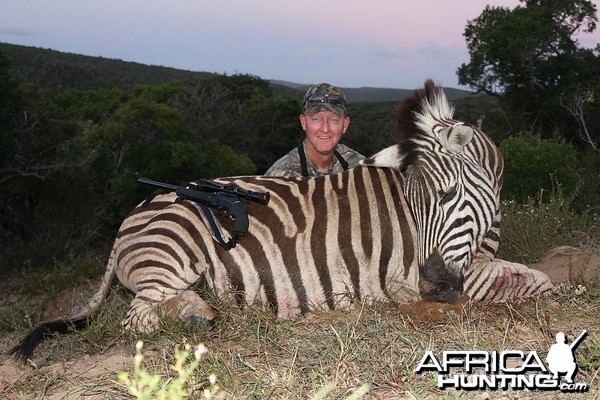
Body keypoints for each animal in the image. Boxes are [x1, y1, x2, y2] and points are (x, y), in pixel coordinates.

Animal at [10, 79, 552, 360]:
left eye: (447, 194)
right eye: (415, 204)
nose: (435, 285)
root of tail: (128, 223)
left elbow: (531, 276)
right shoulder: (430, 276)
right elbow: (540, 284)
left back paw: (203, 309)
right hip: (173, 255)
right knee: (136, 318)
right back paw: (198, 316)